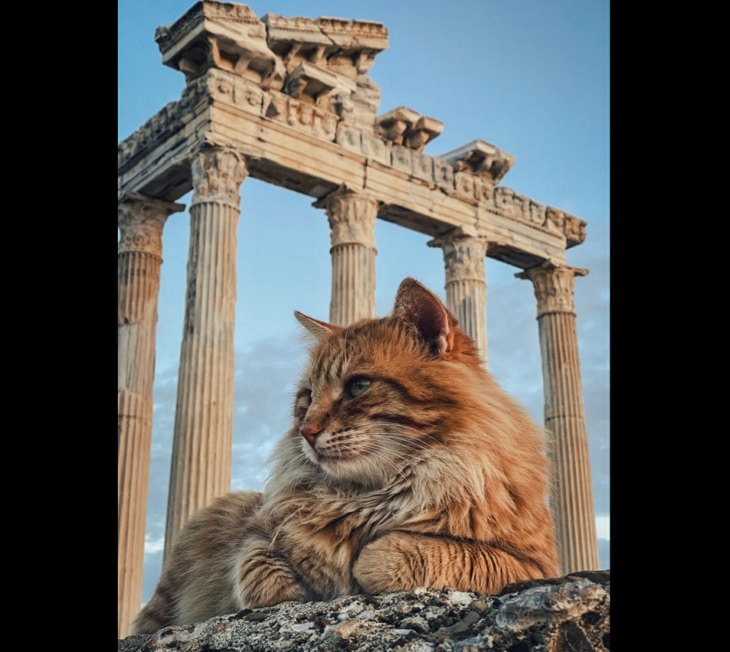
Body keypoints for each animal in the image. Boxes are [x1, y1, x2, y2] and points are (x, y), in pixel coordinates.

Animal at [131, 276, 556, 636]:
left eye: (358, 386)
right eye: (306, 398)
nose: (306, 431)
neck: (367, 495)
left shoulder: (533, 564)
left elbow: (391, 553)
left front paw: (359, 564)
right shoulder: (257, 530)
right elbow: (257, 565)